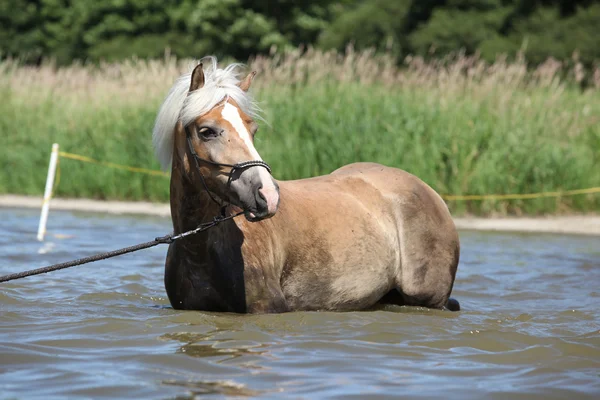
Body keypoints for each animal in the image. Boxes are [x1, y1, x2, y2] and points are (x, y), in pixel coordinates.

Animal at [154, 57, 460, 312]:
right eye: (206, 131)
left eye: (253, 130)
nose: (267, 194)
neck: (200, 251)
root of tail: (431, 193)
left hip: (428, 298)